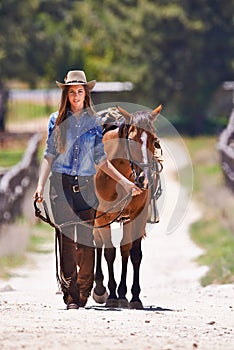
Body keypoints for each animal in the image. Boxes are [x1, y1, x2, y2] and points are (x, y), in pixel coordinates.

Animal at [93, 103, 163, 308]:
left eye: (154, 140)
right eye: (131, 140)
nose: (144, 179)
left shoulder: (137, 216)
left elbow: (134, 253)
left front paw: (132, 296)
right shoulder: (103, 216)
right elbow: (109, 252)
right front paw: (111, 294)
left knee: (124, 250)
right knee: (97, 243)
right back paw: (100, 289)